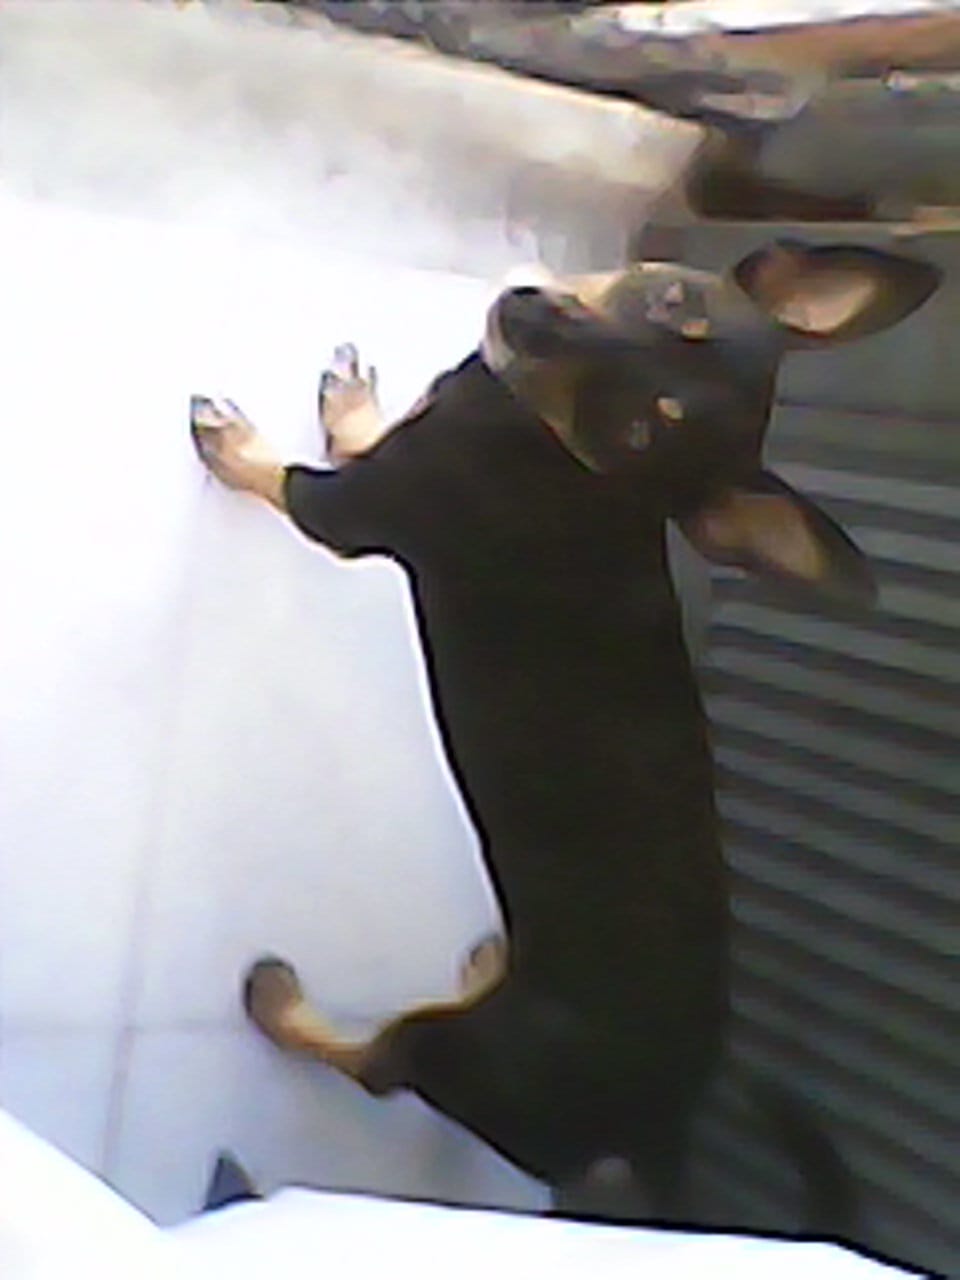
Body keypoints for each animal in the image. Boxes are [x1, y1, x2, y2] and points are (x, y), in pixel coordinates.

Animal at [191, 238, 939, 1224]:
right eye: (671, 298)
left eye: (636, 432)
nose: (531, 317)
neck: (553, 453)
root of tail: (656, 1133)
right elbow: (374, 425)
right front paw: (353, 402)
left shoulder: (352, 514)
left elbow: (289, 482)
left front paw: (238, 447)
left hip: (465, 1058)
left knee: (378, 1062)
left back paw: (284, 1006)